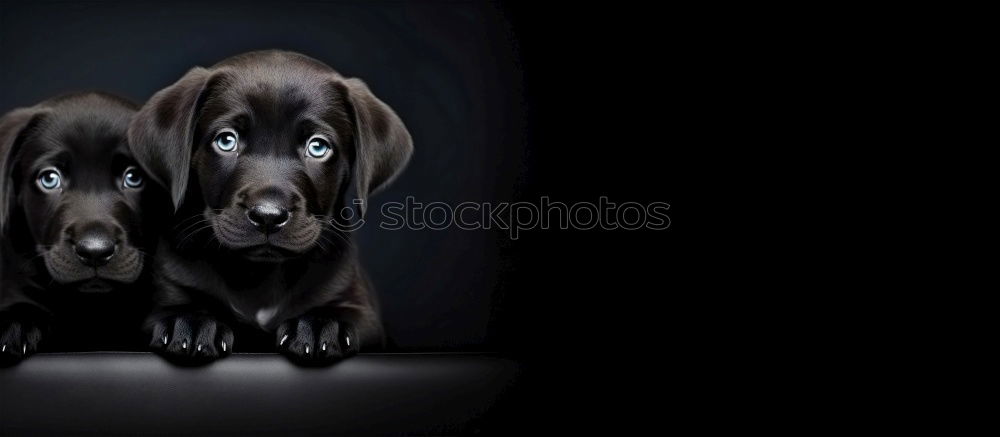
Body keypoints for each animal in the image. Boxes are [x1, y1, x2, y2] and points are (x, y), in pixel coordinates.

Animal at [130, 50, 414, 364]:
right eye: (226, 140)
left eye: (318, 147)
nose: (268, 216)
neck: (260, 278)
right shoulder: (168, 292)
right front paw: (192, 323)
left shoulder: (361, 309)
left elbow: (346, 316)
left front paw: (319, 326)